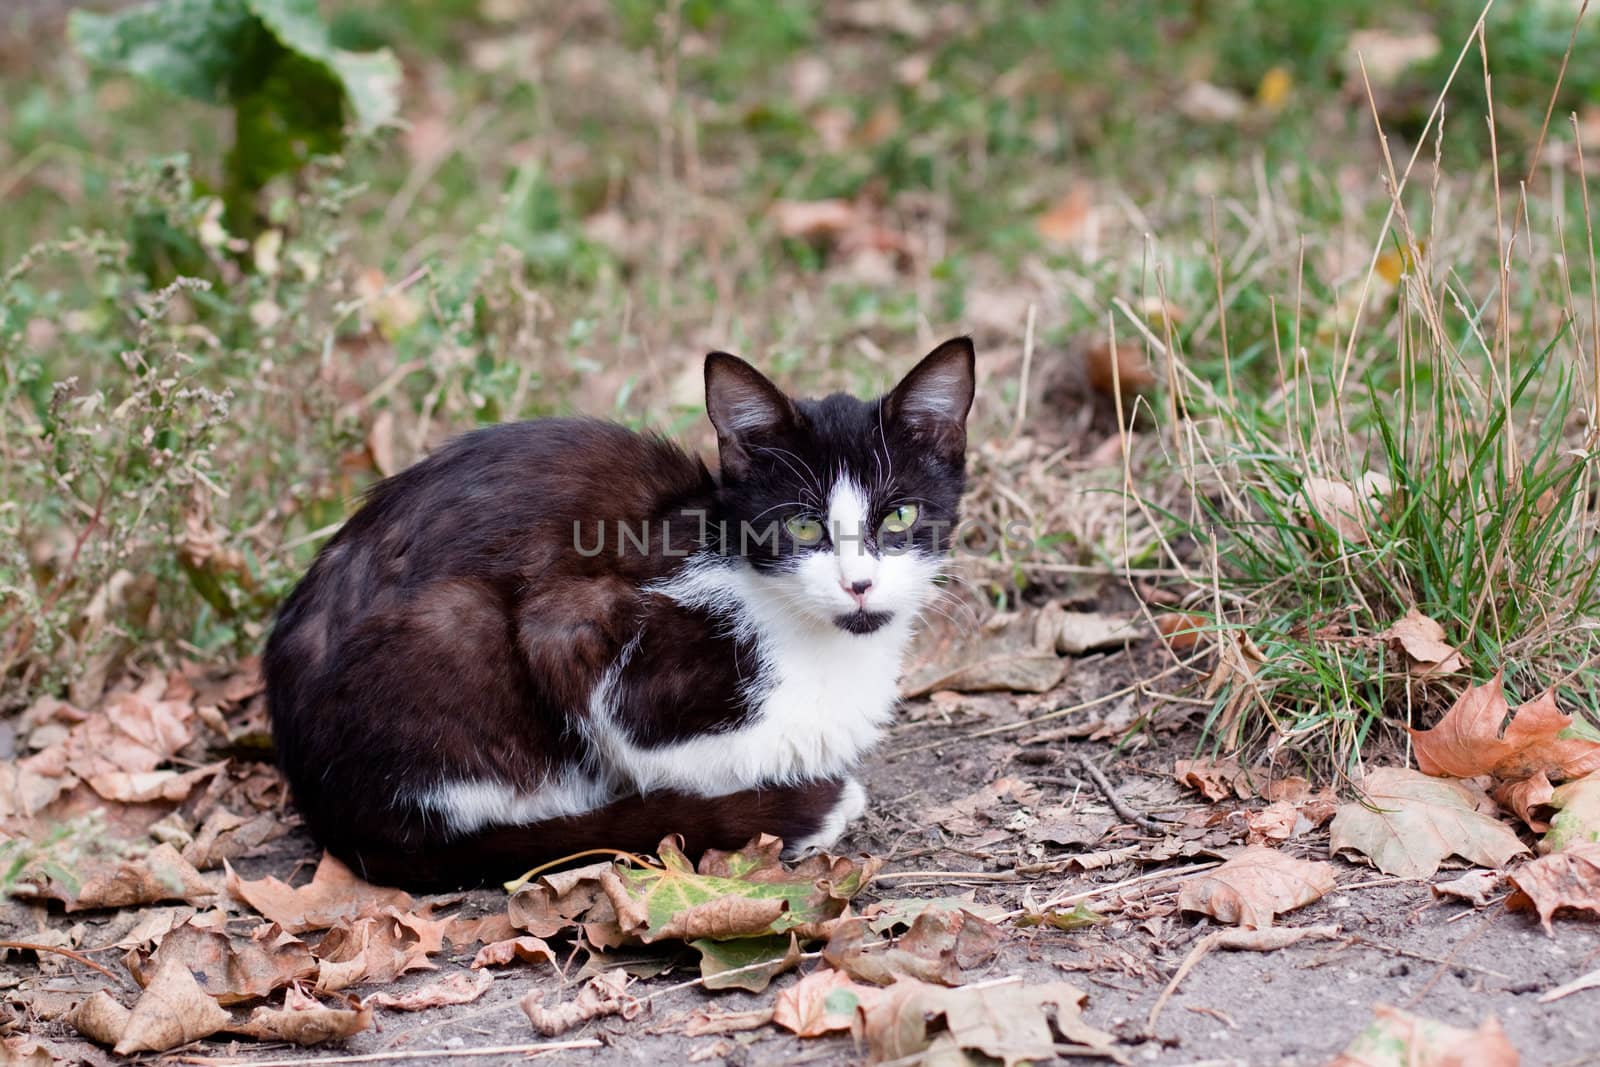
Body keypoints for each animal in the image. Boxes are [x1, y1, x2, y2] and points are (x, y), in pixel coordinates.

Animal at [262, 337, 972, 889]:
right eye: (801, 525)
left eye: (900, 515)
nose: (859, 585)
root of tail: (327, 808)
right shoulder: (576, 624)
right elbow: (671, 751)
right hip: (453, 627)